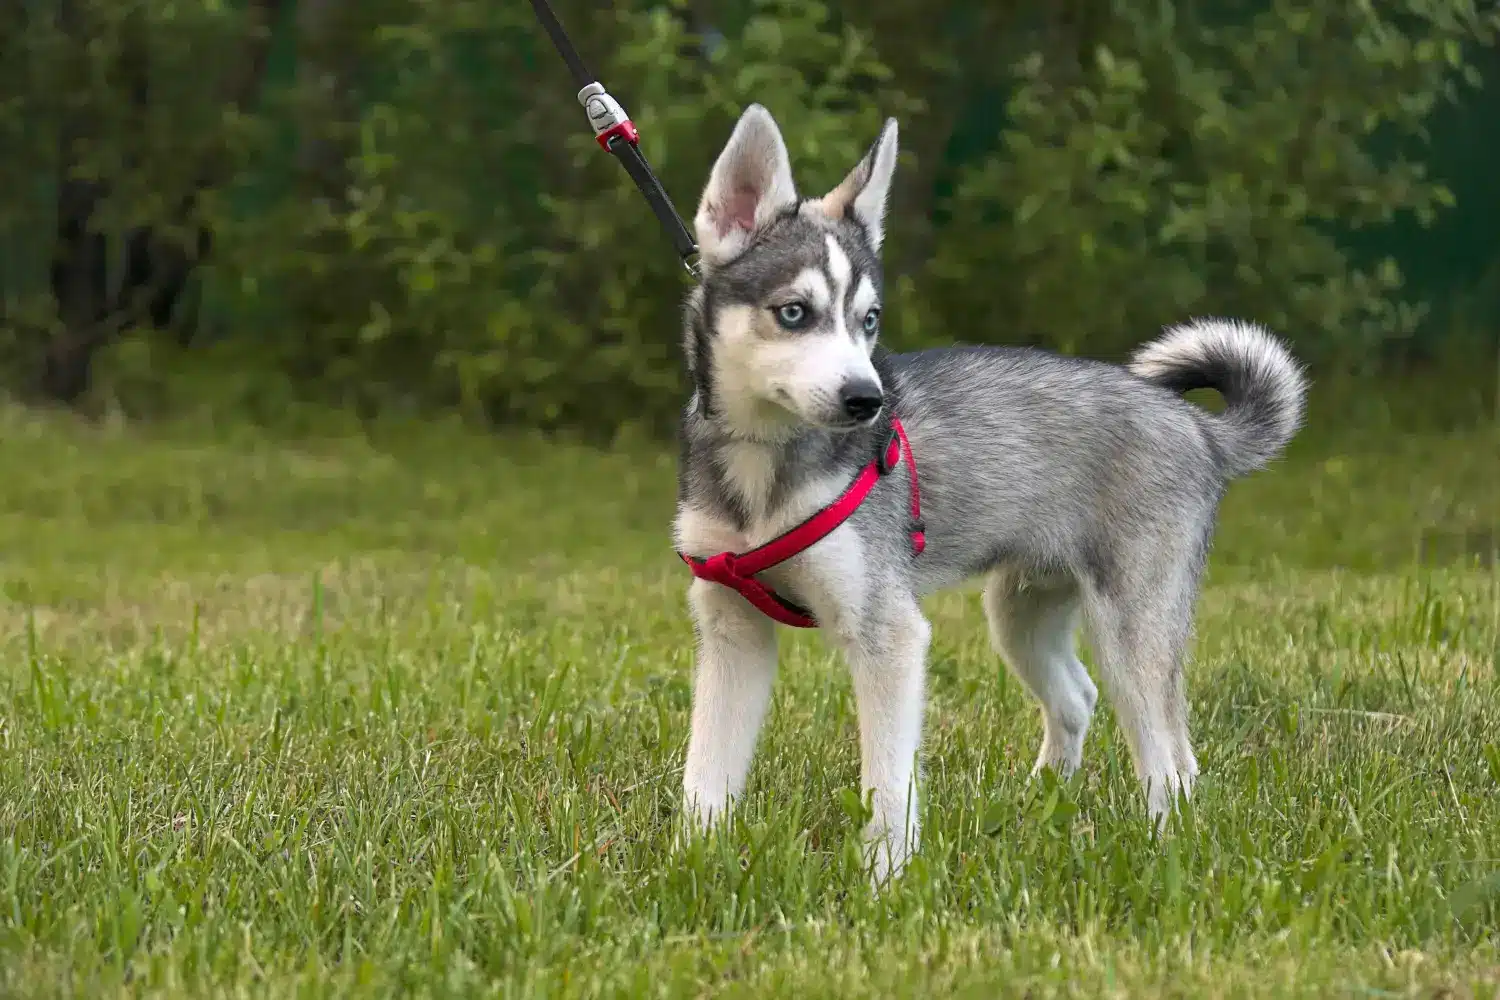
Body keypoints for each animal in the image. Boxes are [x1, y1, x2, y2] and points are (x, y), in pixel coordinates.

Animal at [675, 103, 1308, 881]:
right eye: (793, 312)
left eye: (869, 320)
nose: (867, 399)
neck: (763, 469)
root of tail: (1196, 426)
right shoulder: (730, 627)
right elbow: (705, 773)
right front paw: (689, 861)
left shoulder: (889, 635)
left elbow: (889, 786)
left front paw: (886, 882)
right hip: (1021, 614)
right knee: (1079, 698)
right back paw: (1039, 801)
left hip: (1133, 630)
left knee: (1170, 756)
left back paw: (1165, 847)